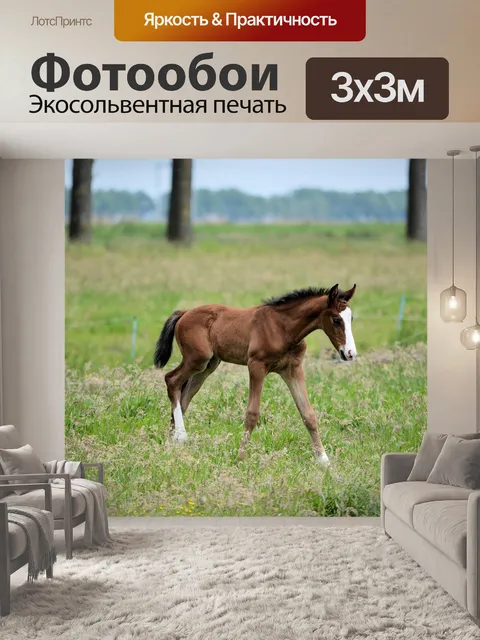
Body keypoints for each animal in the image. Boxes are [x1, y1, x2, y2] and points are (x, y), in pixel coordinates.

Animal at [154, 283, 357, 467]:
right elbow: (252, 414)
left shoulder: (293, 369)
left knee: (184, 396)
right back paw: (180, 436)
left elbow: (308, 414)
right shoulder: (256, 366)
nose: (350, 354)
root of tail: (185, 312)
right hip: (197, 359)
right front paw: (241, 458)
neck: (283, 328)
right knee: (171, 380)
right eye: (336, 320)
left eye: (351, 319)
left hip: (208, 365)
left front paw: (324, 461)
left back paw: (172, 442)